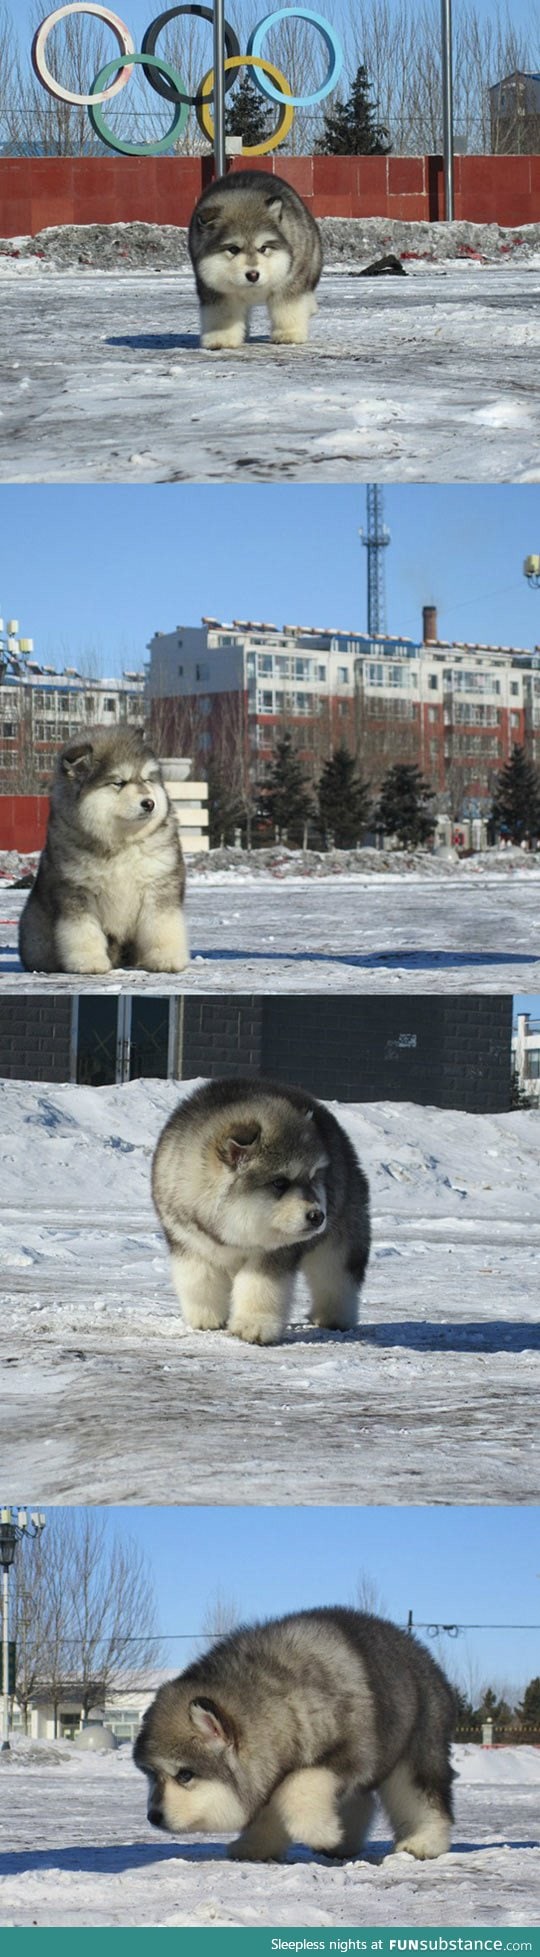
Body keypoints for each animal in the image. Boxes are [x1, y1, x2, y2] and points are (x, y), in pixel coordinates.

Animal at [18, 728, 188, 978]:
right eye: (119, 782)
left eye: (147, 780)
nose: (149, 803)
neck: (120, 842)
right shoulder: (77, 891)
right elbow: (82, 931)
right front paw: (88, 962)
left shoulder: (158, 884)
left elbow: (162, 924)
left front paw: (166, 959)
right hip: (35, 924)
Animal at [135, 1604, 455, 1863]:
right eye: (151, 1776)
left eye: (184, 1775)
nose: (154, 1816)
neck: (281, 1699)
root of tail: (418, 1650)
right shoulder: (271, 1767)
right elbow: (274, 1807)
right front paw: (258, 1845)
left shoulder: (353, 1753)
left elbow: (298, 1786)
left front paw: (321, 1832)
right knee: (360, 1800)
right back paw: (344, 1841)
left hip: (416, 1749)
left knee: (423, 1797)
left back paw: (423, 1841)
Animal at [151, 1072, 371, 1346]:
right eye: (280, 1182)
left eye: (313, 1178)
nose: (318, 1216)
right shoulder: (188, 1241)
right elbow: (199, 1281)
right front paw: (206, 1318)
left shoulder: (274, 1253)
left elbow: (260, 1288)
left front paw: (254, 1325)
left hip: (342, 1239)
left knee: (337, 1277)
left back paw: (334, 1317)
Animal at [187, 169, 322, 352]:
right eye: (233, 249)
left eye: (263, 248)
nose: (253, 275)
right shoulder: (214, 288)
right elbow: (223, 314)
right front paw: (221, 338)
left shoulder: (289, 281)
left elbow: (287, 308)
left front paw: (289, 334)